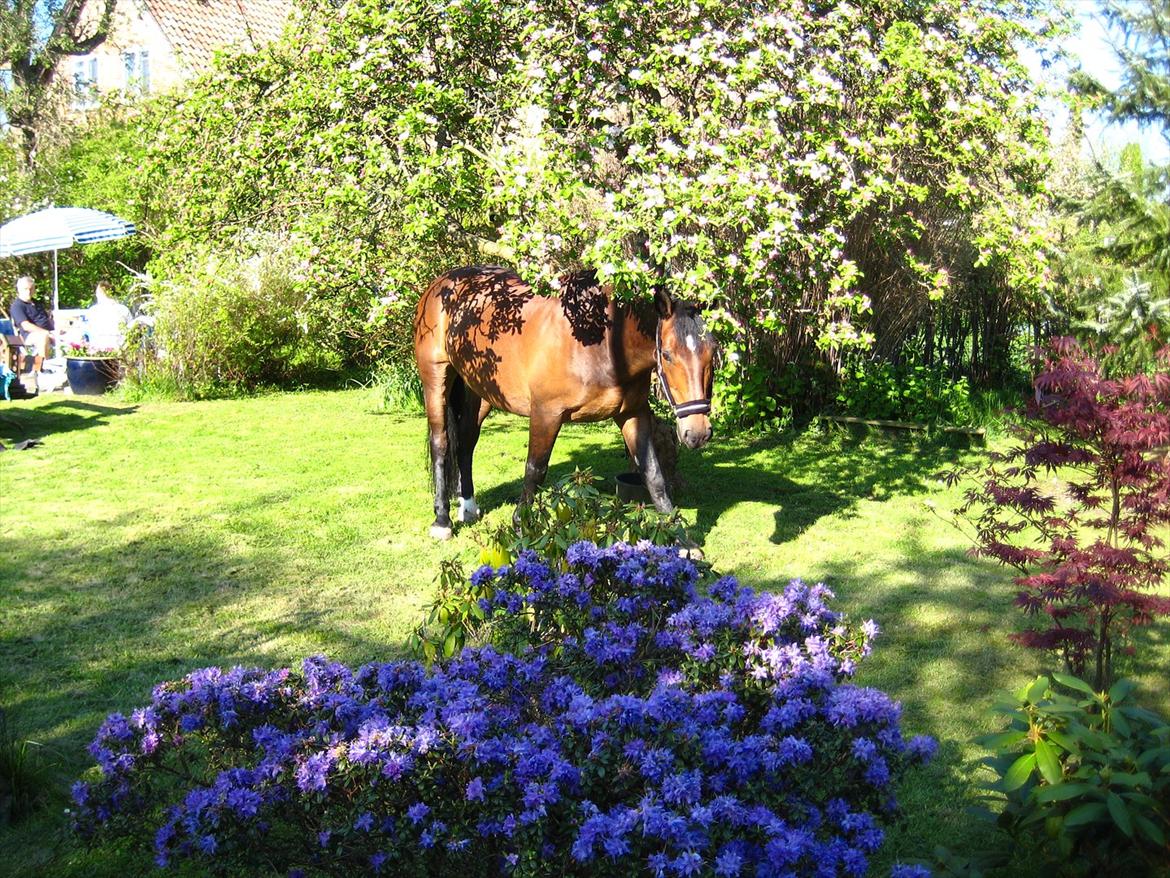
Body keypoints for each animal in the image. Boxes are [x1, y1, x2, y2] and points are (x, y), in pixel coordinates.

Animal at [416, 263, 716, 536]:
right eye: (667, 355)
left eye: (712, 353)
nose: (697, 433)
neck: (604, 340)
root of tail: (443, 283)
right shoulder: (546, 413)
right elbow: (535, 469)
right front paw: (521, 527)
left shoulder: (632, 413)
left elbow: (653, 474)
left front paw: (682, 539)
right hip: (436, 378)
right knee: (441, 442)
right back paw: (442, 520)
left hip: (481, 391)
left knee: (466, 442)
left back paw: (467, 506)